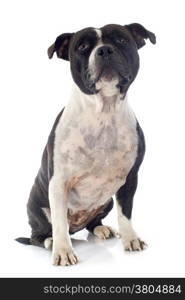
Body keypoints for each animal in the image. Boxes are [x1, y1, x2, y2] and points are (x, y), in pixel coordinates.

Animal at [16, 24, 156, 268]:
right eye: (82, 46)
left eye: (121, 39)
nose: (105, 50)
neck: (103, 113)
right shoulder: (58, 183)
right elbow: (59, 223)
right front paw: (63, 251)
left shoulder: (130, 179)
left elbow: (125, 212)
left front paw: (130, 239)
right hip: (37, 207)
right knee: (40, 234)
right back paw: (50, 242)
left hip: (106, 202)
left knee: (93, 222)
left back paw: (102, 229)